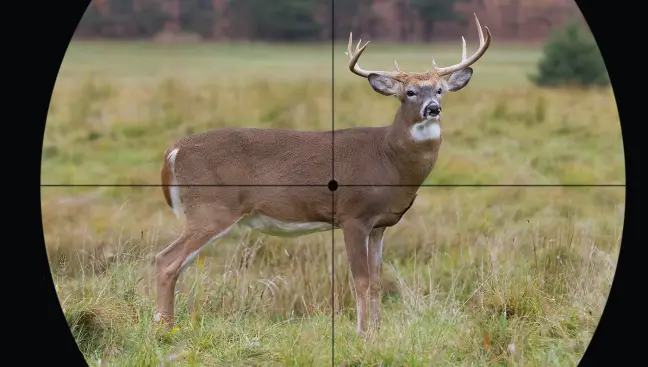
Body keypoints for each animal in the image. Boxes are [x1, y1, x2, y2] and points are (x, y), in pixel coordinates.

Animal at [156, 14, 492, 336]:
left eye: (440, 90)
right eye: (409, 92)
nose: (433, 108)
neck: (389, 159)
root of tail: (174, 150)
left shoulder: (380, 225)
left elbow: (377, 281)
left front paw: (378, 331)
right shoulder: (352, 215)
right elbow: (360, 279)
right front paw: (362, 333)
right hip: (211, 208)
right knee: (165, 260)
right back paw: (165, 329)